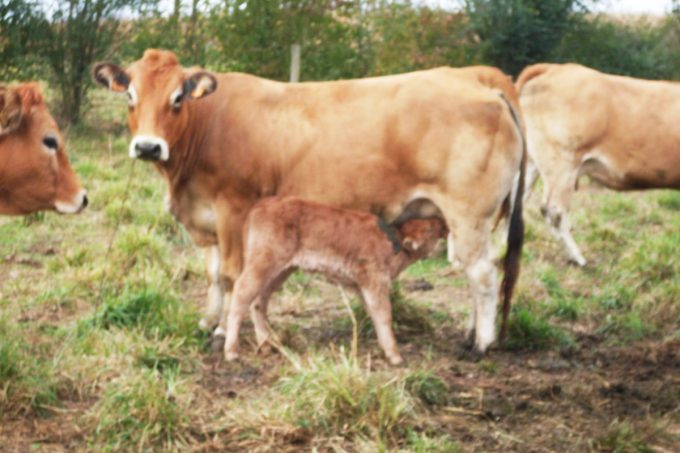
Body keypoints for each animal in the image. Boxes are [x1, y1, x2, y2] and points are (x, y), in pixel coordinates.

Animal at [222, 197, 448, 365]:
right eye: (430, 227)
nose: (444, 224)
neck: (393, 243)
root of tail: (261, 205)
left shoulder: (363, 286)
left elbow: (373, 314)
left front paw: (385, 349)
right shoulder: (375, 281)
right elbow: (384, 315)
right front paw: (395, 356)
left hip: (280, 270)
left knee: (259, 300)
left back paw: (267, 343)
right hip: (263, 262)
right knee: (241, 293)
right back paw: (231, 351)